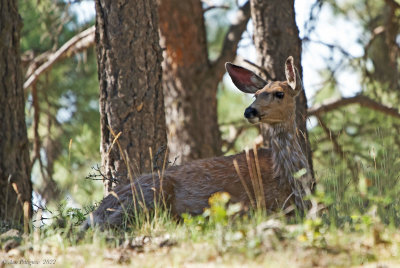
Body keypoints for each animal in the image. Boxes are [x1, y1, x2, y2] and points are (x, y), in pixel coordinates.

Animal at [83, 56, 314, 228]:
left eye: (279, 93)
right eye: (256, 94)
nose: (250, 111)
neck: (287, 178)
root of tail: (92, 217)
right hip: (149, 195)